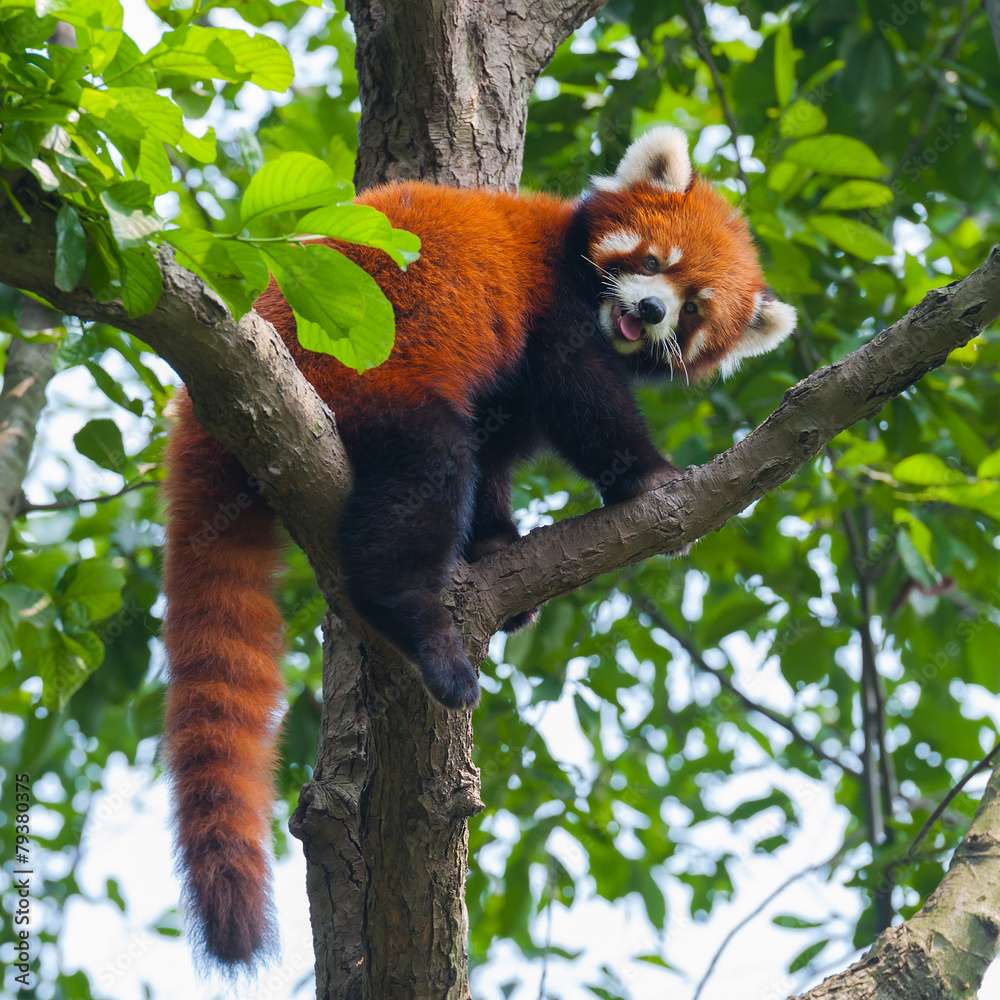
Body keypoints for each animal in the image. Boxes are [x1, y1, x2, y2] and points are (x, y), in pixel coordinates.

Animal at [160, 125, 792, 960]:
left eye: (693, 310)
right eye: (655, 262)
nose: (651, 310)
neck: (576, 267)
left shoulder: (510, 383)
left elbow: (501, 453)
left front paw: (491, 545)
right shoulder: (551, 313)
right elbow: (579, 401)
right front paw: (648, 477)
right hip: (368, 372)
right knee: (419, 488)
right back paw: (424, 632)